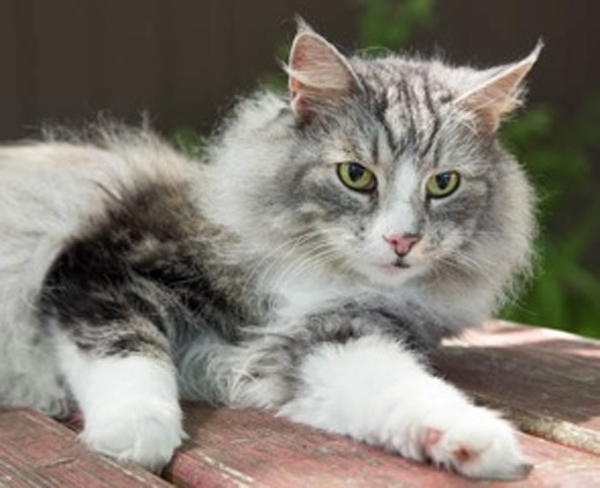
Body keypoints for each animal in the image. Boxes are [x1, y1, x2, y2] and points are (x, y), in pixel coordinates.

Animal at [0, 23, 540, 480]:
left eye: (443, 184)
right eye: (356, 175)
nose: (402, 240)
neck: (307, 275)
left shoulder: (323, 340)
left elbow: (402, 389)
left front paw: (475, 442)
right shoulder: (103, 269)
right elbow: (127, 351)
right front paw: (135, 436)